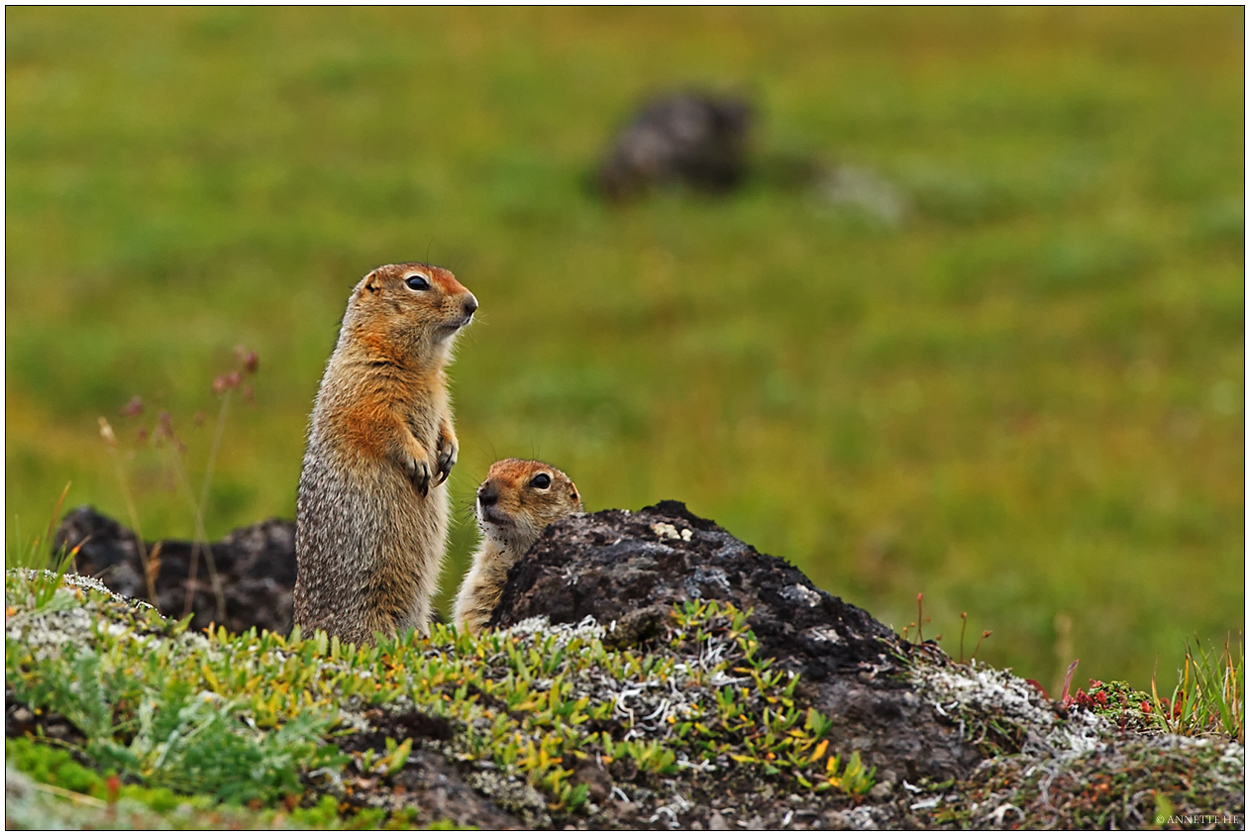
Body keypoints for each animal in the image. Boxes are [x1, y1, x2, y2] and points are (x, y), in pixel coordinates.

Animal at [292, 261, 477, 644]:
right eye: (417, 283)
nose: (473, 304)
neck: (419, 365)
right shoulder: (365, 387)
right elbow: (382, 424)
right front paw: (420, 461)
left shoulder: (441, 392)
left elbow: (445, 419)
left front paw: (449, 453)